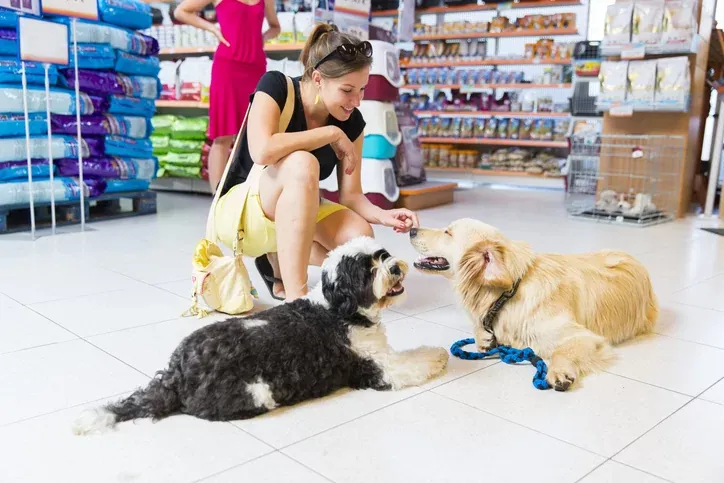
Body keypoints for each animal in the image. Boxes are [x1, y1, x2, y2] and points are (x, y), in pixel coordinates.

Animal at [72, 237, 446, 434]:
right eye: (367, 271)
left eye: (381, 255)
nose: (394, 267)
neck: (339, 309)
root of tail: (177, 375)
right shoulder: (380, 368)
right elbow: (415, 362)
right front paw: (439, 354)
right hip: (256, 393)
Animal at [410, 221, 660, 392]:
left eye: (448, 232)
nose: (412, 229)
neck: (508, 294)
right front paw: (484, 339)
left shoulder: (586, 337)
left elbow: (563, 350)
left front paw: (559, 371)